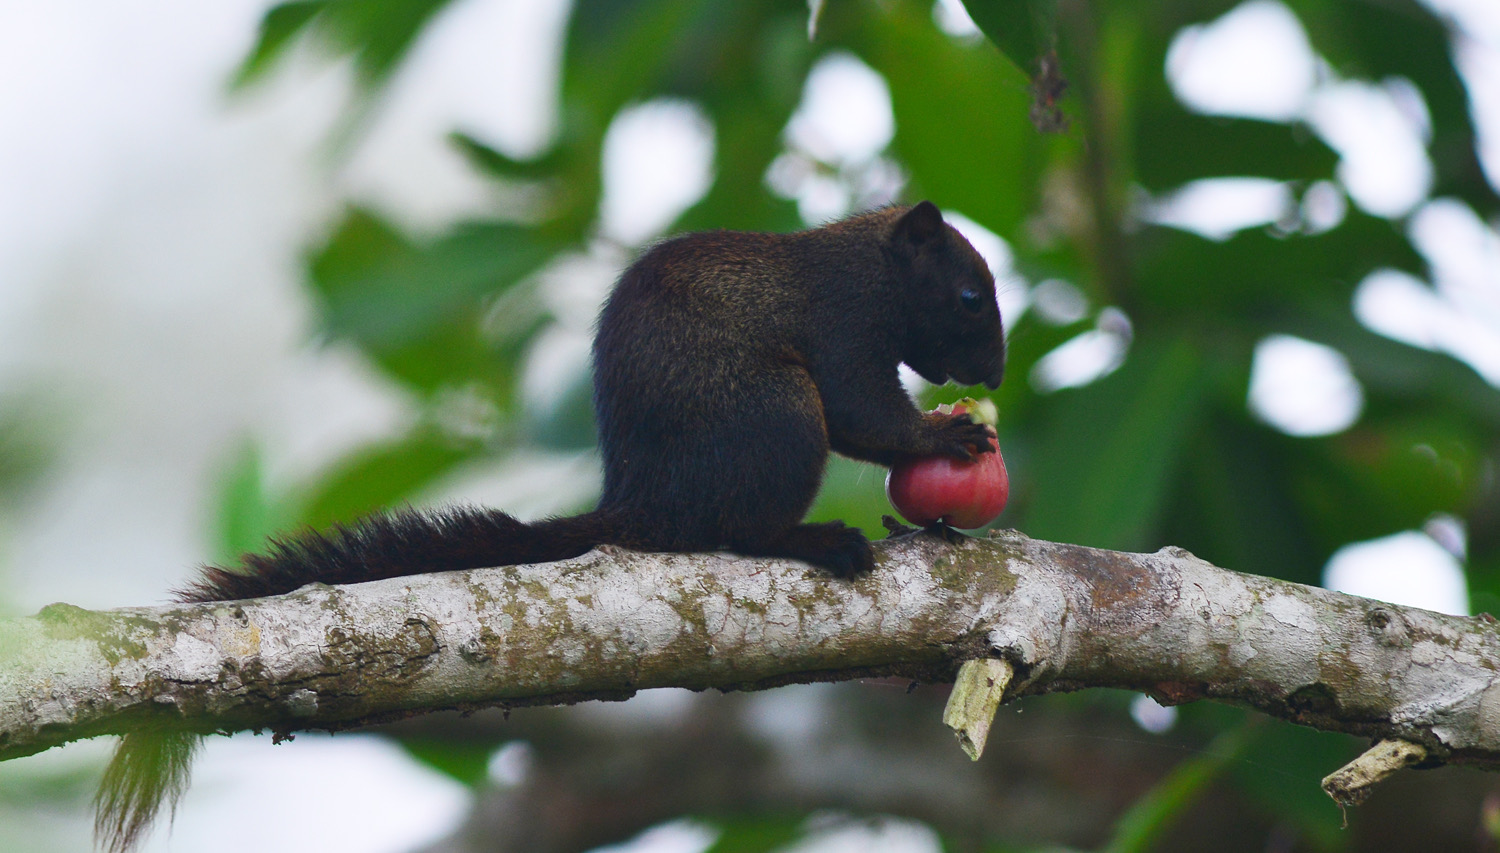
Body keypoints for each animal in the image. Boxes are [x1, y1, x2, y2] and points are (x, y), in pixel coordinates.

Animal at [93, 200, 1008, 851]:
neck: (867, 263)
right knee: (735, 525)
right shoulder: (845, 324)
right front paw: (948, 436)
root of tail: (644, 501)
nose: (996, 374)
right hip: (777, 418)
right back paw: (813, 539)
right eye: (969, 294)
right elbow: (861, 412)